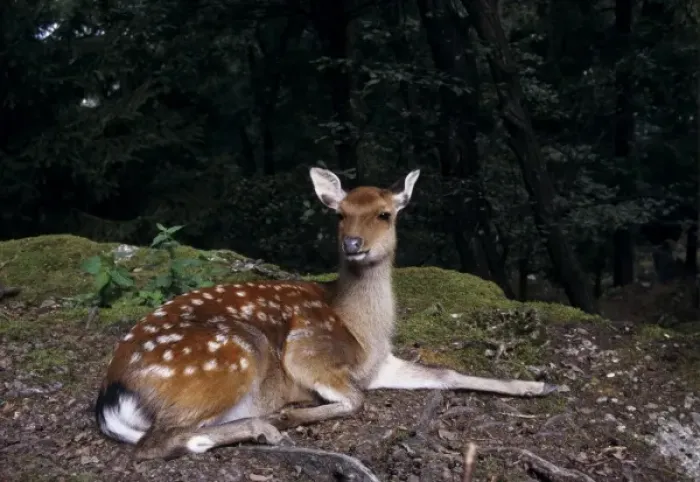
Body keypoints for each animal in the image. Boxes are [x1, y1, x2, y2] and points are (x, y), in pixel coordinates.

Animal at [95, 167, 559, 460]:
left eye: (384, 213)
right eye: (340, 214)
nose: (353, 243)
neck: (362, 330)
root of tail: (113, 394)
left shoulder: (380, 364)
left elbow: (446, 373)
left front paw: (540, 386)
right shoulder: (307, 351)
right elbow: (355, 399)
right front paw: (295, 414)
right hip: (231, 355)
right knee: (154, 444)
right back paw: (266, 426)